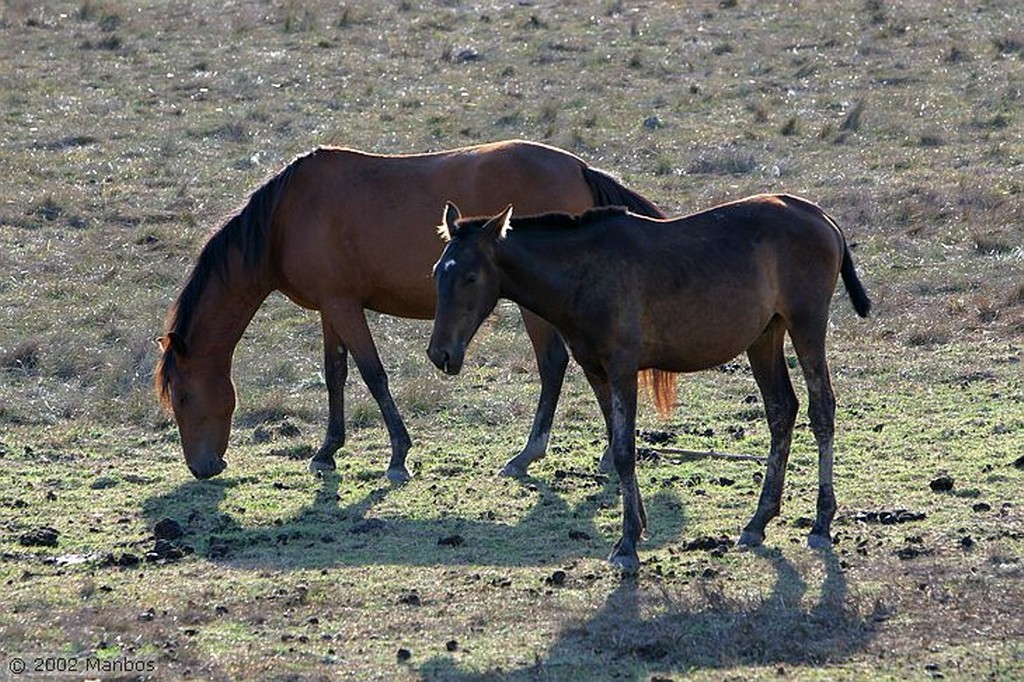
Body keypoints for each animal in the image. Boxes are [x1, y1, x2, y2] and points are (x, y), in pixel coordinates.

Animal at [151, 137, 663, 477]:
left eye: (183, 397)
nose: (203, 467)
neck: (283, 219)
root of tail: (579, 167)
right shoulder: (331, 307)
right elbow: (334, 373)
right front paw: (327, 451)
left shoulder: (344, 307)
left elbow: (372, 374)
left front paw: (398, 455)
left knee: (554, 364)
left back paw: (530, 455)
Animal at [428, 195, 868, 569]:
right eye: (437, 273)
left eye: (470, 277)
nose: (440, 353)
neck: (584, 273)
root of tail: (821, 217)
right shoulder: (596, 370)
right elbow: (617, 444)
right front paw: (636, 525)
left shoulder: (624, 368)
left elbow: (624, 451)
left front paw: (626, 544)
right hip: (765, 336)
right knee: (781, 410)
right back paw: (758, 522)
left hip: (806, 324)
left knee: (821, 409)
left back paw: (821, 523)